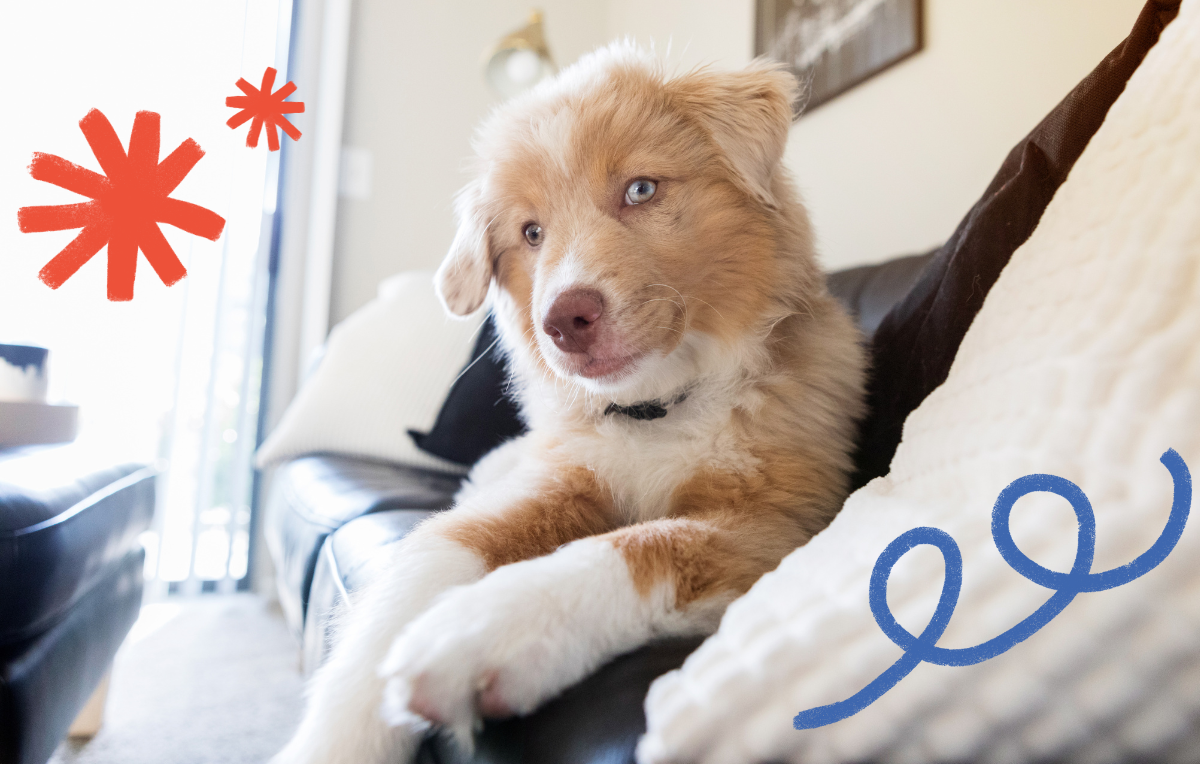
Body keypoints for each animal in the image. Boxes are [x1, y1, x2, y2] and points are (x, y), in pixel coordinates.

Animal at [274, 43, 864, 762]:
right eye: (531, 233)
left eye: (640, 190)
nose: (563, 320)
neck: (655, 410)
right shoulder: (559, 482)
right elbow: (424, 563)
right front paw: (337, 735)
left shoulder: (777, 521)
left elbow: (641, 543)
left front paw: (482, 628)